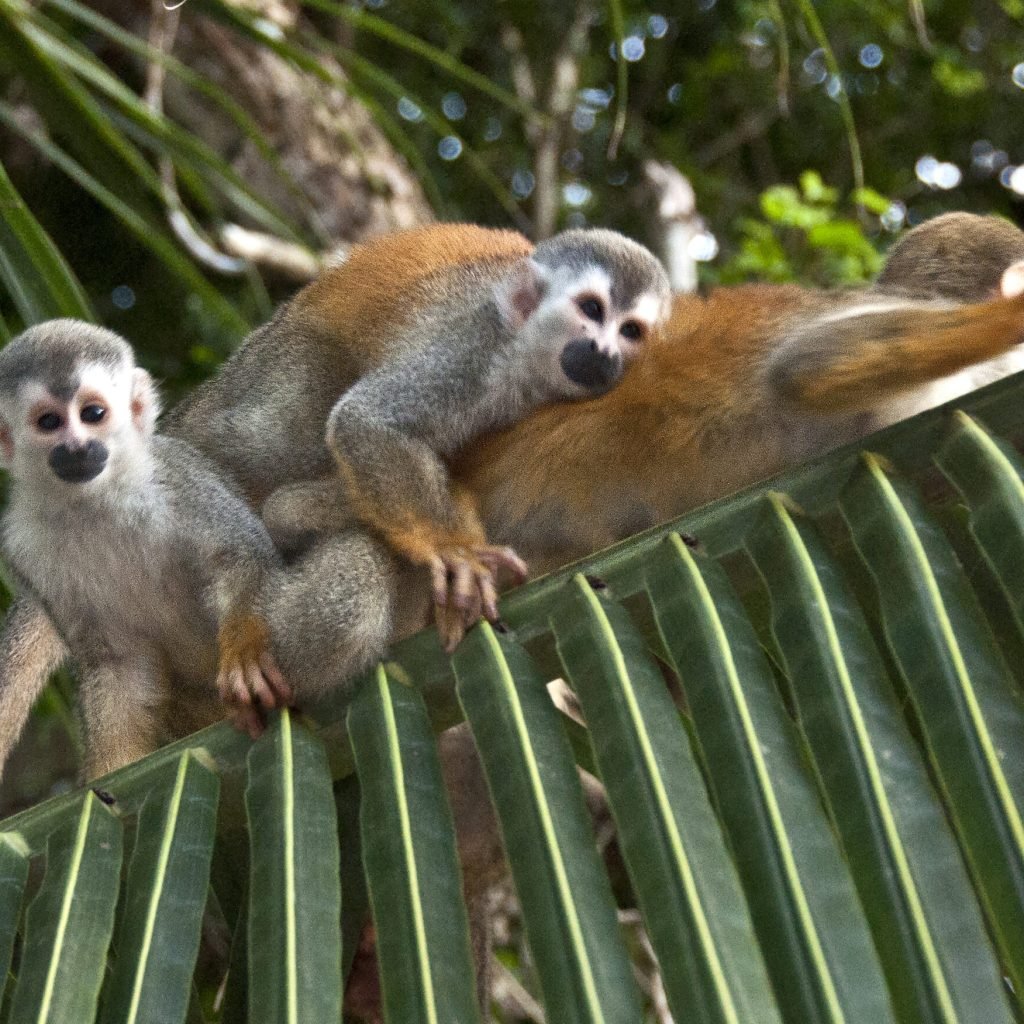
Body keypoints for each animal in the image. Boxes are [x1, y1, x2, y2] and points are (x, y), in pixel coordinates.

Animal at [0, 320, 291, 783]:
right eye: (48, 422)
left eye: (92, 414)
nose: (76, 447)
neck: (95, 500)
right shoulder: (22, 546)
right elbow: (116, 660)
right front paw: (110, 775)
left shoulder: (175, 475)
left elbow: (240, 554)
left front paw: (245, 651)